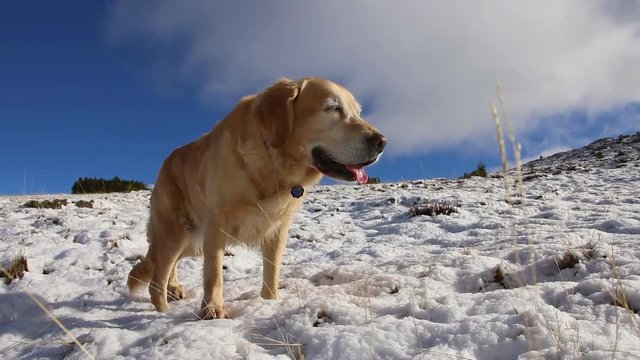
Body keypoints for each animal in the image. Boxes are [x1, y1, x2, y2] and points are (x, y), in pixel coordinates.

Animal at [127, 77, 382, 320]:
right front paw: (213, 309)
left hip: (191, 241)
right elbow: (214, 274)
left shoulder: (277, 228)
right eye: (333, 108)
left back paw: (174, 288)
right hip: (175, 233)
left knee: (167, 264)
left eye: (358, 112)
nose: (381, 142)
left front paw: (269, 302)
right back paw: (163, 309)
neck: (273, 161)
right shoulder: (216, 225)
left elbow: (272, 270)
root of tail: (166, 161)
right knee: (157, 276)